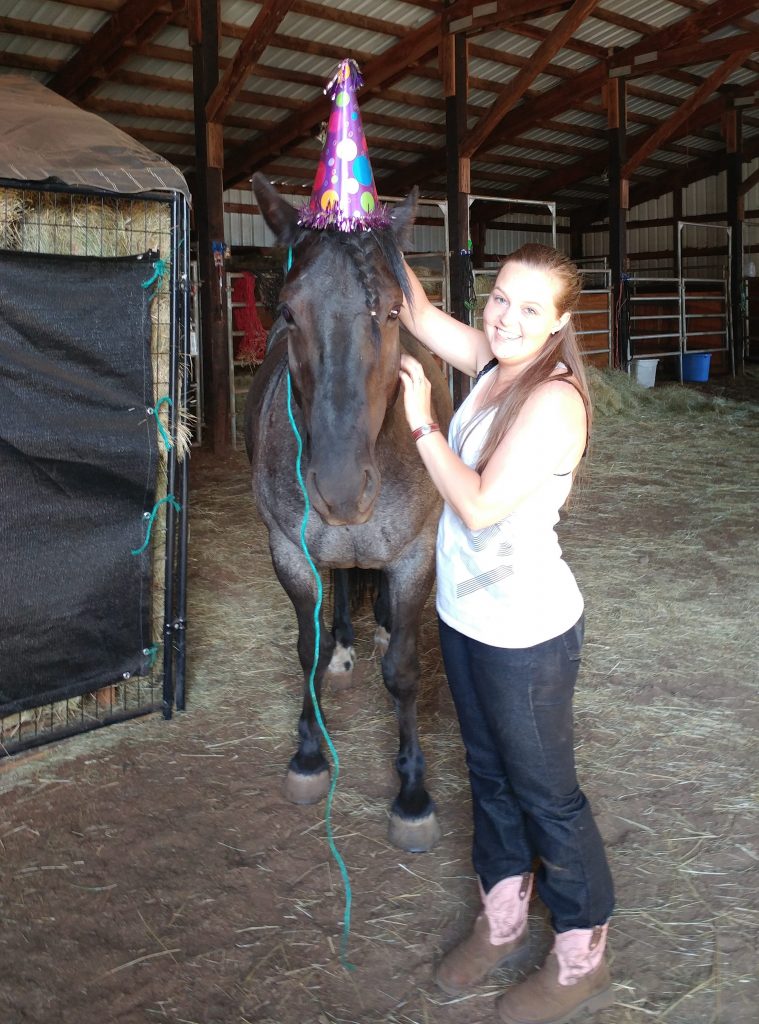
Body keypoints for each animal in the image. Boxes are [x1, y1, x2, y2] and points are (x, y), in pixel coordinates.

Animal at [245, 176, 452, 856]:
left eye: (391, 312)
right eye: (287, 312)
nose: (338, 489)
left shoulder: (415, 555)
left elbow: (405, 673)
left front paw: (412, 794)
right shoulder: (290, 551)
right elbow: (305, 651)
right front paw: (309, 756)